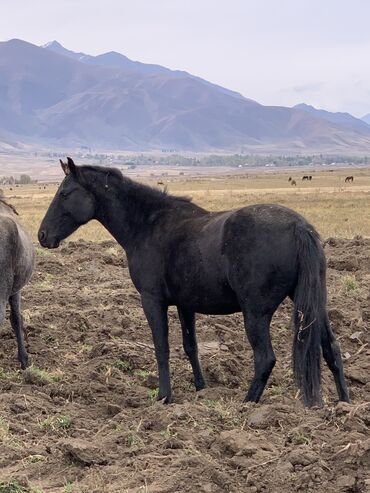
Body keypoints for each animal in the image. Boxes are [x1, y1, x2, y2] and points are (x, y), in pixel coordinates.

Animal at [38, 159, 350, 408]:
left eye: (64, 193)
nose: (42, 235)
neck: (147, 225)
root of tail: (300, 227)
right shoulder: (185, 304)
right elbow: (191, 346)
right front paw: (200, 389)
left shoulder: (152, 300)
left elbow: (161, 347)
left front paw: (164, 396)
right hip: (313, 305)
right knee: (332, 350)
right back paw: (344, 403)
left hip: (256, 314)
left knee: (265, 358)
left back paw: (247, 404)